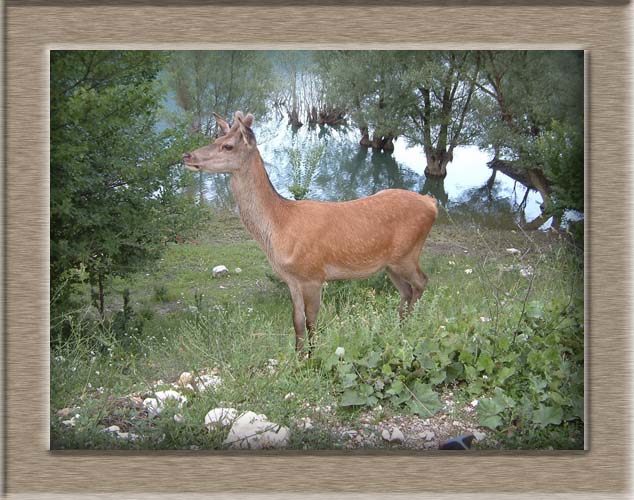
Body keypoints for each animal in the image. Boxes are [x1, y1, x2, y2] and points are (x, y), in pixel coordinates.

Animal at [183, 111, 436, 354]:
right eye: (216, 138)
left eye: (228, 146)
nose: (187, 155)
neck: (280, 225)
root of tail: (431, 204)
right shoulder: (292, 280)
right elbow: (296, 321)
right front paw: (297, 359)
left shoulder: (314, 275)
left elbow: (312, 322)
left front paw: (314, 359)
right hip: (391, 264)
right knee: (406, 290)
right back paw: (400, 329)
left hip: (407, 254)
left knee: (422, 282)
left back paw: (410, 328)